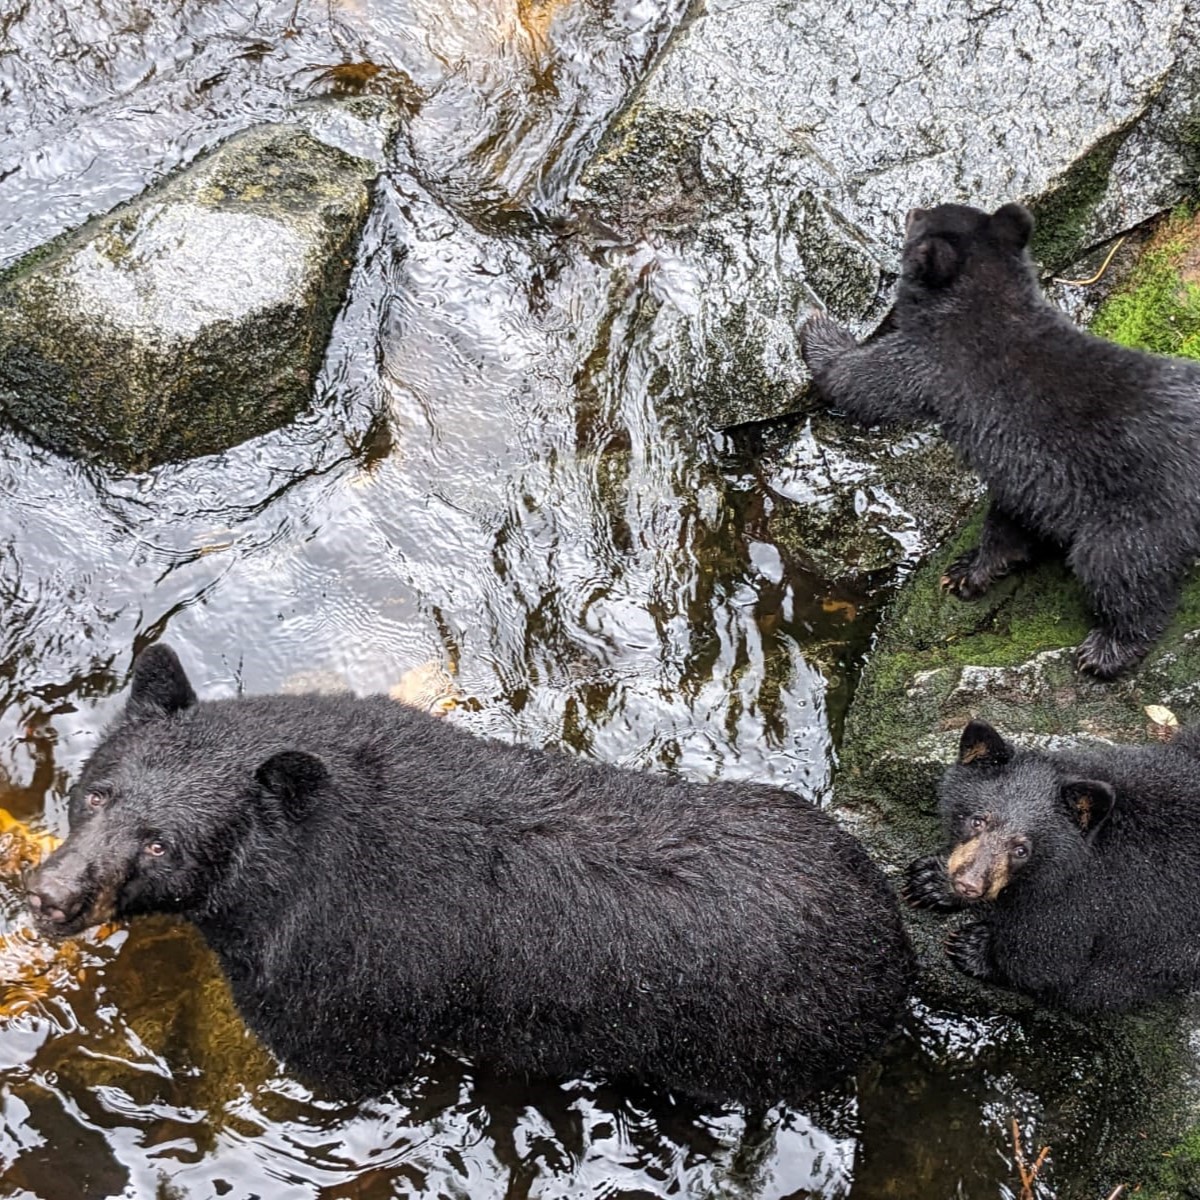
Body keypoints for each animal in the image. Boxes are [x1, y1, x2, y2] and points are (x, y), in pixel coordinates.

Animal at [28, 648, 912, 1104]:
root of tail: (891, 939)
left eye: (160, 846)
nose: (52, 895)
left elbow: (340, 1067)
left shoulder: (331, 990)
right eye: (95, 792)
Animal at [796, 201, 1200, 681]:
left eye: (920, 220)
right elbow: (1015, 517)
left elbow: (863, 381)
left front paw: (817, 329)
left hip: (1139, 513)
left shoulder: (935, 367)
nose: (911, 208)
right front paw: (968, 568)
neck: (991, 304)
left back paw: (1107, 649)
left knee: (1121, 572)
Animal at [902, 715, 1200, 1017]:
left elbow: (1051, 958)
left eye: (1021, 849)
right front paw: (929, 880)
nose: (968, 885)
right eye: (978, 821)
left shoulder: (1090, 895)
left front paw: (975, 948)